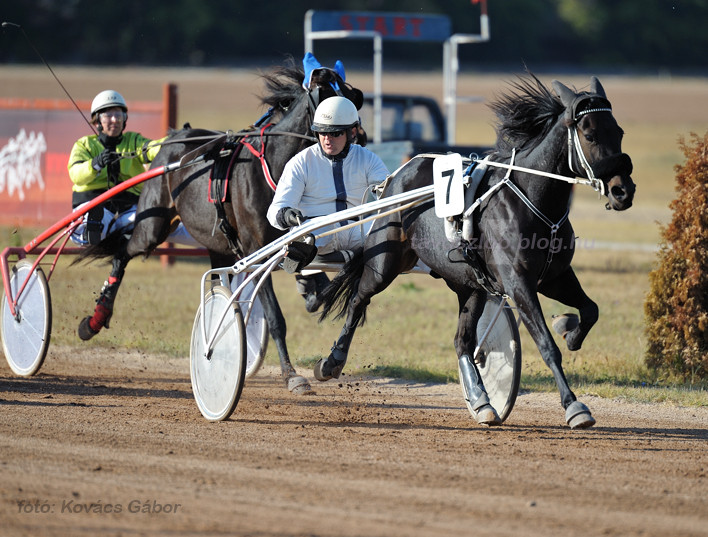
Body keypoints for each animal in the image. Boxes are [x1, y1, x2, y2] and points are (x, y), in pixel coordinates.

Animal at [78, 56, 366, 396]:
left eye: (354, 97)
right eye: (325, 97)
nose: (359, 138)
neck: (276, 167)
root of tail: (174, 137)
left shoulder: (300, 239)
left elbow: (327, 274)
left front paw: (312, 292)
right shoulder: (257, 249)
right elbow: (276, 316)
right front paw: (291, 375)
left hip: (217, 243)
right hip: (153, 225)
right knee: (123, 253)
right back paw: (95, 320)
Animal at [316, 74, 636, 428]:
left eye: (619, 132)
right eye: (589, 134)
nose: (623, 190)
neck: (534, 200)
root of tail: (398, 174)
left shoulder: (555, 277)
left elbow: (591, 310)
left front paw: (570, 331)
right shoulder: (519, 283)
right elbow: (547, 345)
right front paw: (574, 406)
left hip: (469, 284)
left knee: (463, 342)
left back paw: (482, 401)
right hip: (385, 262)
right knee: (359, 299)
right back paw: (332, 361)